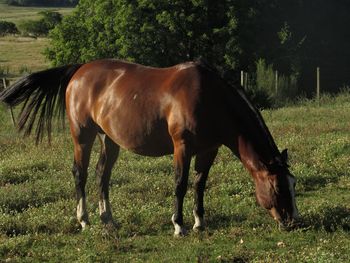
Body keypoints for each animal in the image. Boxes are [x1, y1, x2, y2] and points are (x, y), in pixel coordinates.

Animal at [0, 59, 300, 237]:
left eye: (293, 184)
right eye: (276, 187)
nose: (293, 221)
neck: (209, 98)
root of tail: (79, 71)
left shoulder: (208, 150)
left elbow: (199, 185)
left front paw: (199, 222)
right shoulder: (183, 147)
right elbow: (180, 183)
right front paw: (179, 225)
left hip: (109, 139)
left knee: (101, 175)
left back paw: (108, 219)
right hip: (83, 136)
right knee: (80, 174)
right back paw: (84, 220)